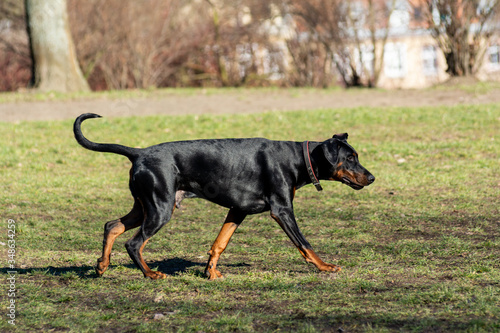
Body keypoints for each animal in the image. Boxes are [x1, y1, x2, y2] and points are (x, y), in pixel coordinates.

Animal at [72, 113, 374, 278]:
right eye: (350, 158)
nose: (371, 177)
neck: (298, 158)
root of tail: (139, 153)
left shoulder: (238, 210)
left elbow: (220, 243)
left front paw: (211, 272)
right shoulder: (282, 211)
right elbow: (304, 243)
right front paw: (325, 266)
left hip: (144, 206)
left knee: (112, 226)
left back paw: (102, 266)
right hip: (160, 209)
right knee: (134, 243)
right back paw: (150, 274)